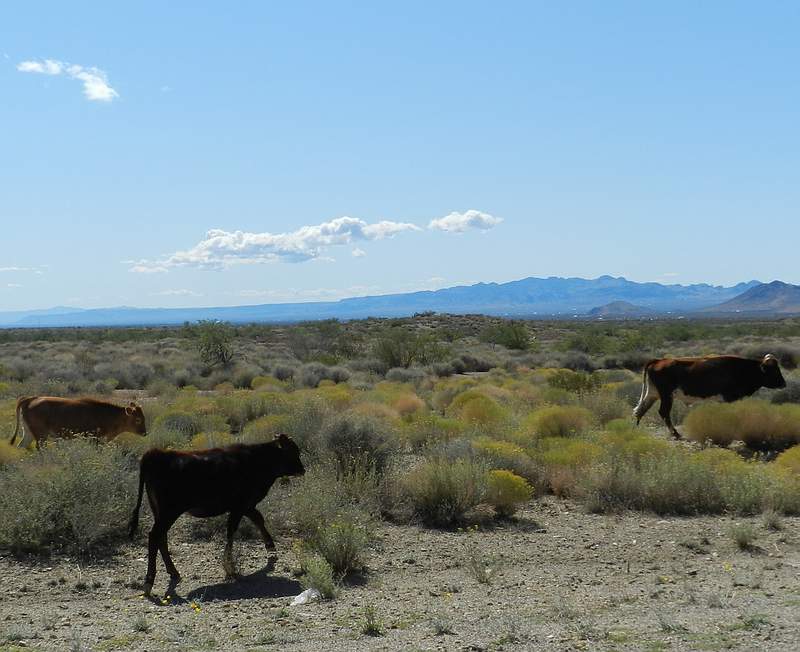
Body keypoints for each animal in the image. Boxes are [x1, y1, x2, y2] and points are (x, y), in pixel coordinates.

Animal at [10, 396, 147, 449]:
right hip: (41, 436)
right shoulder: (95, 441)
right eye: (138, 419)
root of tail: (30, 398)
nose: (145, 433)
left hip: (28, 433)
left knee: (21, 445)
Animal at [128, 434, 305, 598]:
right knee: (154, 536)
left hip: (159, 512)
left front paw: (270, 548)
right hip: (168, 512)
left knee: (161, 538)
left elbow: (258, 520)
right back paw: (149, 582)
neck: (257, 460)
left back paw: (173, 572)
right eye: (293, 451)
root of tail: (156, 453)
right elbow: (232, 531)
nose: (302, 470)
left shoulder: (246, 506)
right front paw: (230, 566)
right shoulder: (240, 506)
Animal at [633, 353, 786, 438]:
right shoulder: (730, 398)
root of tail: (658, 360)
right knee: (663, 412)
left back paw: (635, 429)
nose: (783, 383)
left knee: (640, 410)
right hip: (666, 395)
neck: (743, 369)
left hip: (653, 394)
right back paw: (676, 434)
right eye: (773, 370)